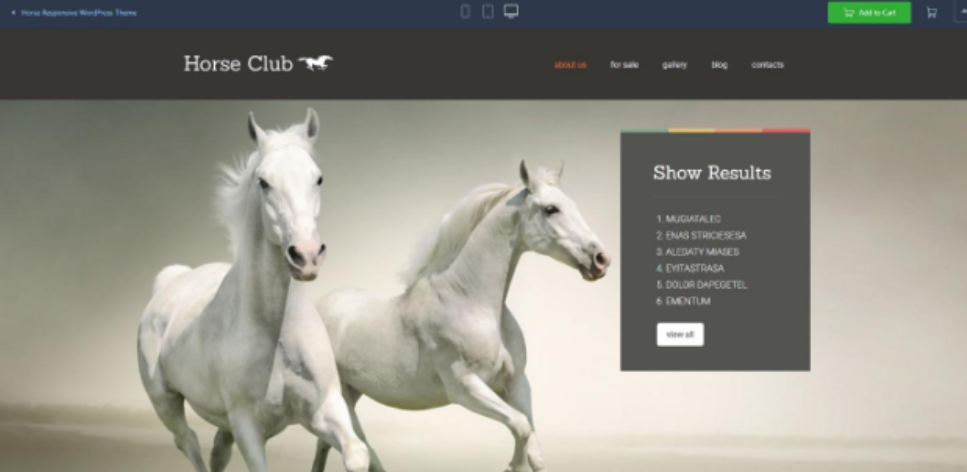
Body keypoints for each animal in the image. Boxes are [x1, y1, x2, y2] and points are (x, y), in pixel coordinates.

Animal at [137, 109, 369, 472]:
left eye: (318, 178)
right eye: (264, 182)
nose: (306, 256)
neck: (276, 334)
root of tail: (170, 281)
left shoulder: (324, 409)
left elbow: (357, 454)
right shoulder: (247, 425)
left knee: (217, 451)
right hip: (165, 401)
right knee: (188, 441)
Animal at [311, 161, 611, 472]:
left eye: (572, 204)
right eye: (551, 209)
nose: (601, 259)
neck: (470, 303)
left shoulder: (517, 383)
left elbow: (534, 447)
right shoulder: (465, 388)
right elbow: (521, 425)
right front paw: (512, 466)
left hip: (351, 390)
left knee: (330, 443)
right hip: (337, 395)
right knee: (354, 444)